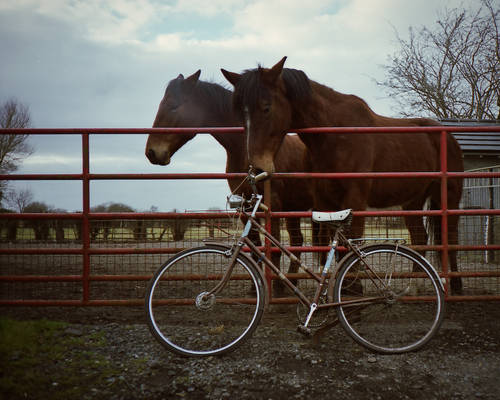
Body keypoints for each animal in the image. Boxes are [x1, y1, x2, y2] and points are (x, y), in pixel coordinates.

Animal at [145, 71, 314, 290]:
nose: (151, 152)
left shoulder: (272, 203)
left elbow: (274, 245)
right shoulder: (245, 203)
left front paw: (274, 288)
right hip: (294, 208)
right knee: (297, 240)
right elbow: (256, 243)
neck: (244, 147)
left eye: (173, 105)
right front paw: (255, 287)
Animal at [223, 56, 464, 294]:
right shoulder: (323, 199)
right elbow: (334, 244)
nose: (256, 168)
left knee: (451, 239)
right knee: (420, 237)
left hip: (449, 196)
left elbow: (351, 241)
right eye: (239, 112)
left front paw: (353, 287)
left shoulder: (355, 198)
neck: (334, 135)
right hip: (412, 201)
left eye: (266, 107)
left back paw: (456, 285)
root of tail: (448, 137)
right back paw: (415, 284)